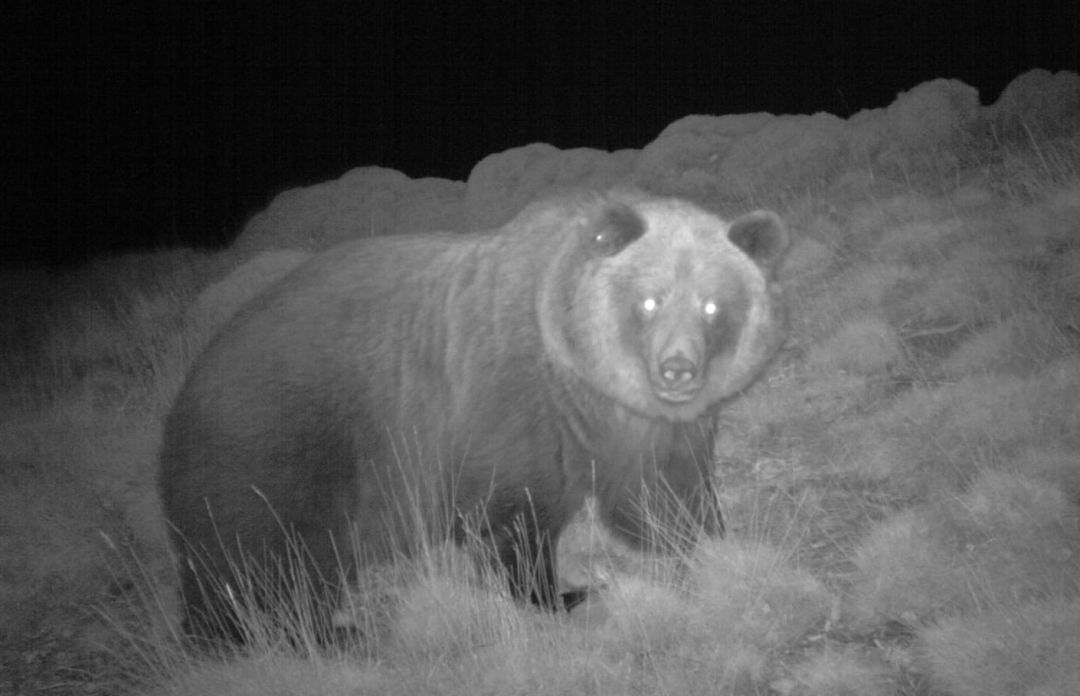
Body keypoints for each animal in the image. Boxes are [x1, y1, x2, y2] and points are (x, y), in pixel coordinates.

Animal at [156, 189, 790, 639]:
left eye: (712, 305)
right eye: (651, 299)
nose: (677, 369)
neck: (583, 381)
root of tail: (186, 387)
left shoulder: (642, 428)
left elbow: (661, 495)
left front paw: (711, 539)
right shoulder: (508, 407)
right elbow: (514, 518)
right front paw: (565, 593)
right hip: (270, 453)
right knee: (266, 565)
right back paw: (318, 630)